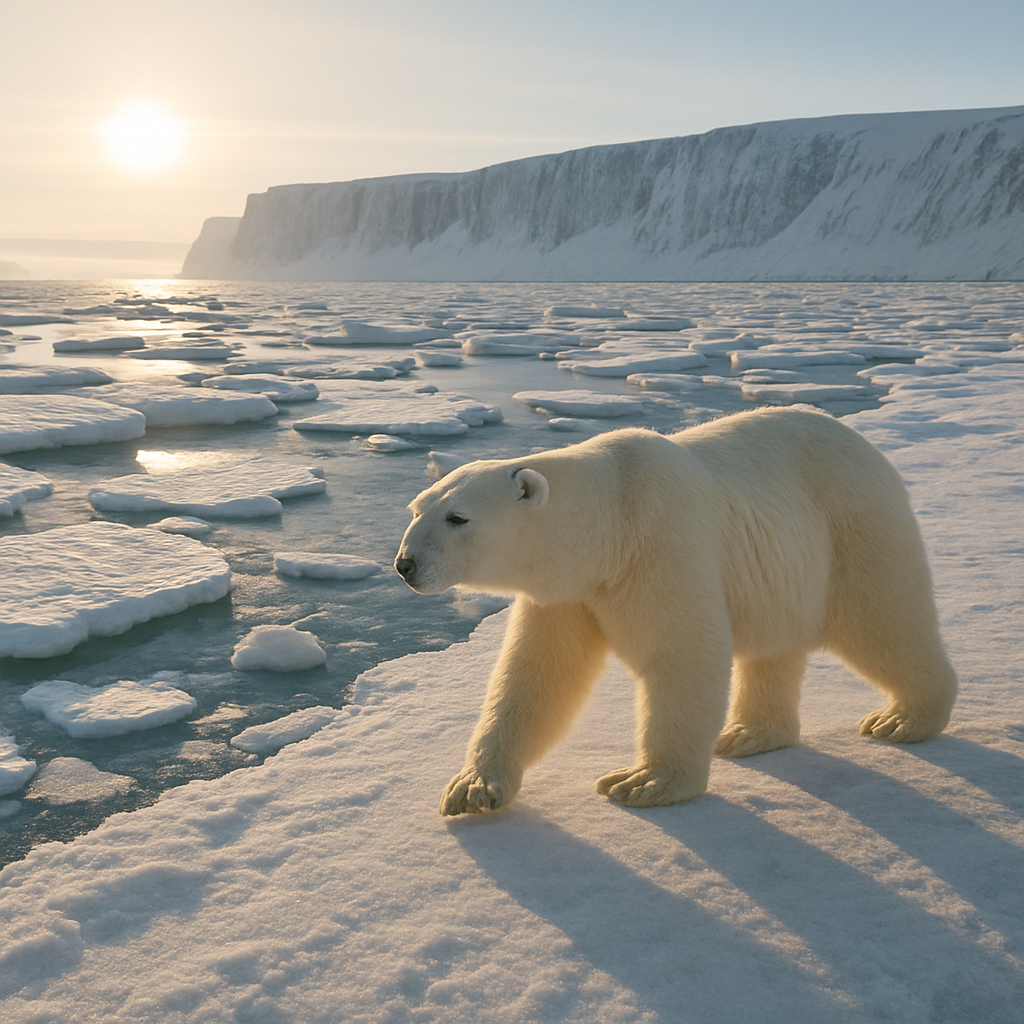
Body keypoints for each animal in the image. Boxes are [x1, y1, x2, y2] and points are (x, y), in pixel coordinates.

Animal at [394, 407, 957, 816]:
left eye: (457, 517)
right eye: (416, 509)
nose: (405, 565)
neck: (609, 523)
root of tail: (863, 443)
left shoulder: (662, 545)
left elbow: (683, 652)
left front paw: (644, 781)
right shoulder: (568, 591)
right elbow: (536, 674)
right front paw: (472, 787)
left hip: (854, 525)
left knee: (883, 618)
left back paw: (903, 718)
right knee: (775, 645)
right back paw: (748, 734)